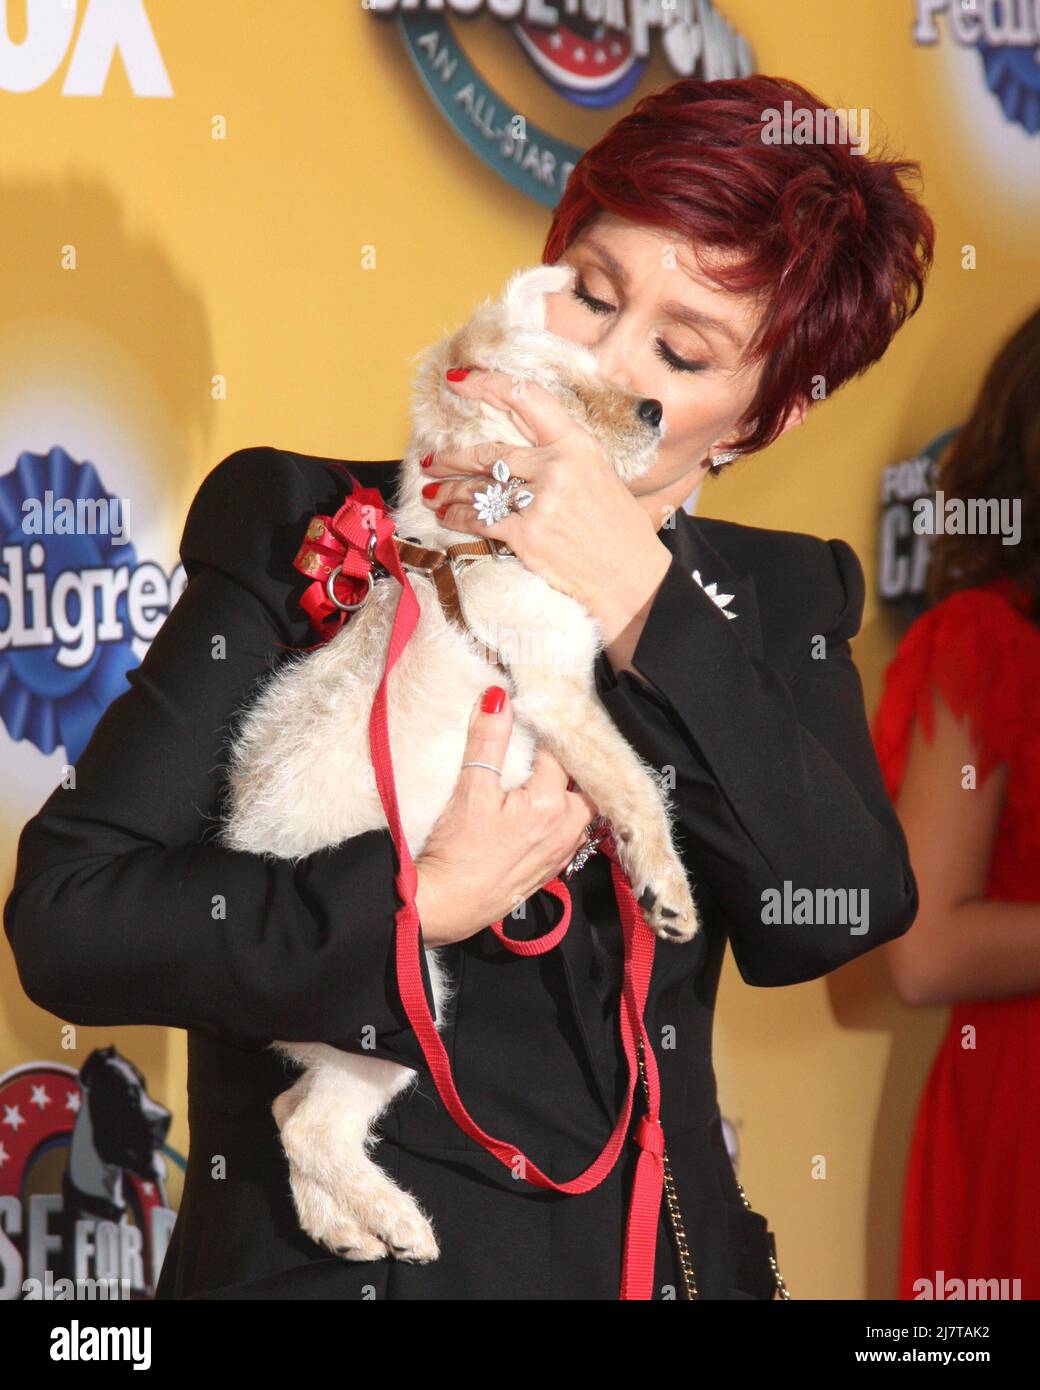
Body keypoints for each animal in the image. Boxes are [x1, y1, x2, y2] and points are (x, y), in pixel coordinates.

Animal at [216, 262, 697, 1273]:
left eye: (600, 365)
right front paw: (666, 890)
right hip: (402, 1004)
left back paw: (344, 1227)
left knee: (287, 1109)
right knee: (307, 1124)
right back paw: (396, 1219)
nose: (653, 407)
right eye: (562, 399)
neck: (483, 540)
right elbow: (635, 784)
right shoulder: (556, 691)